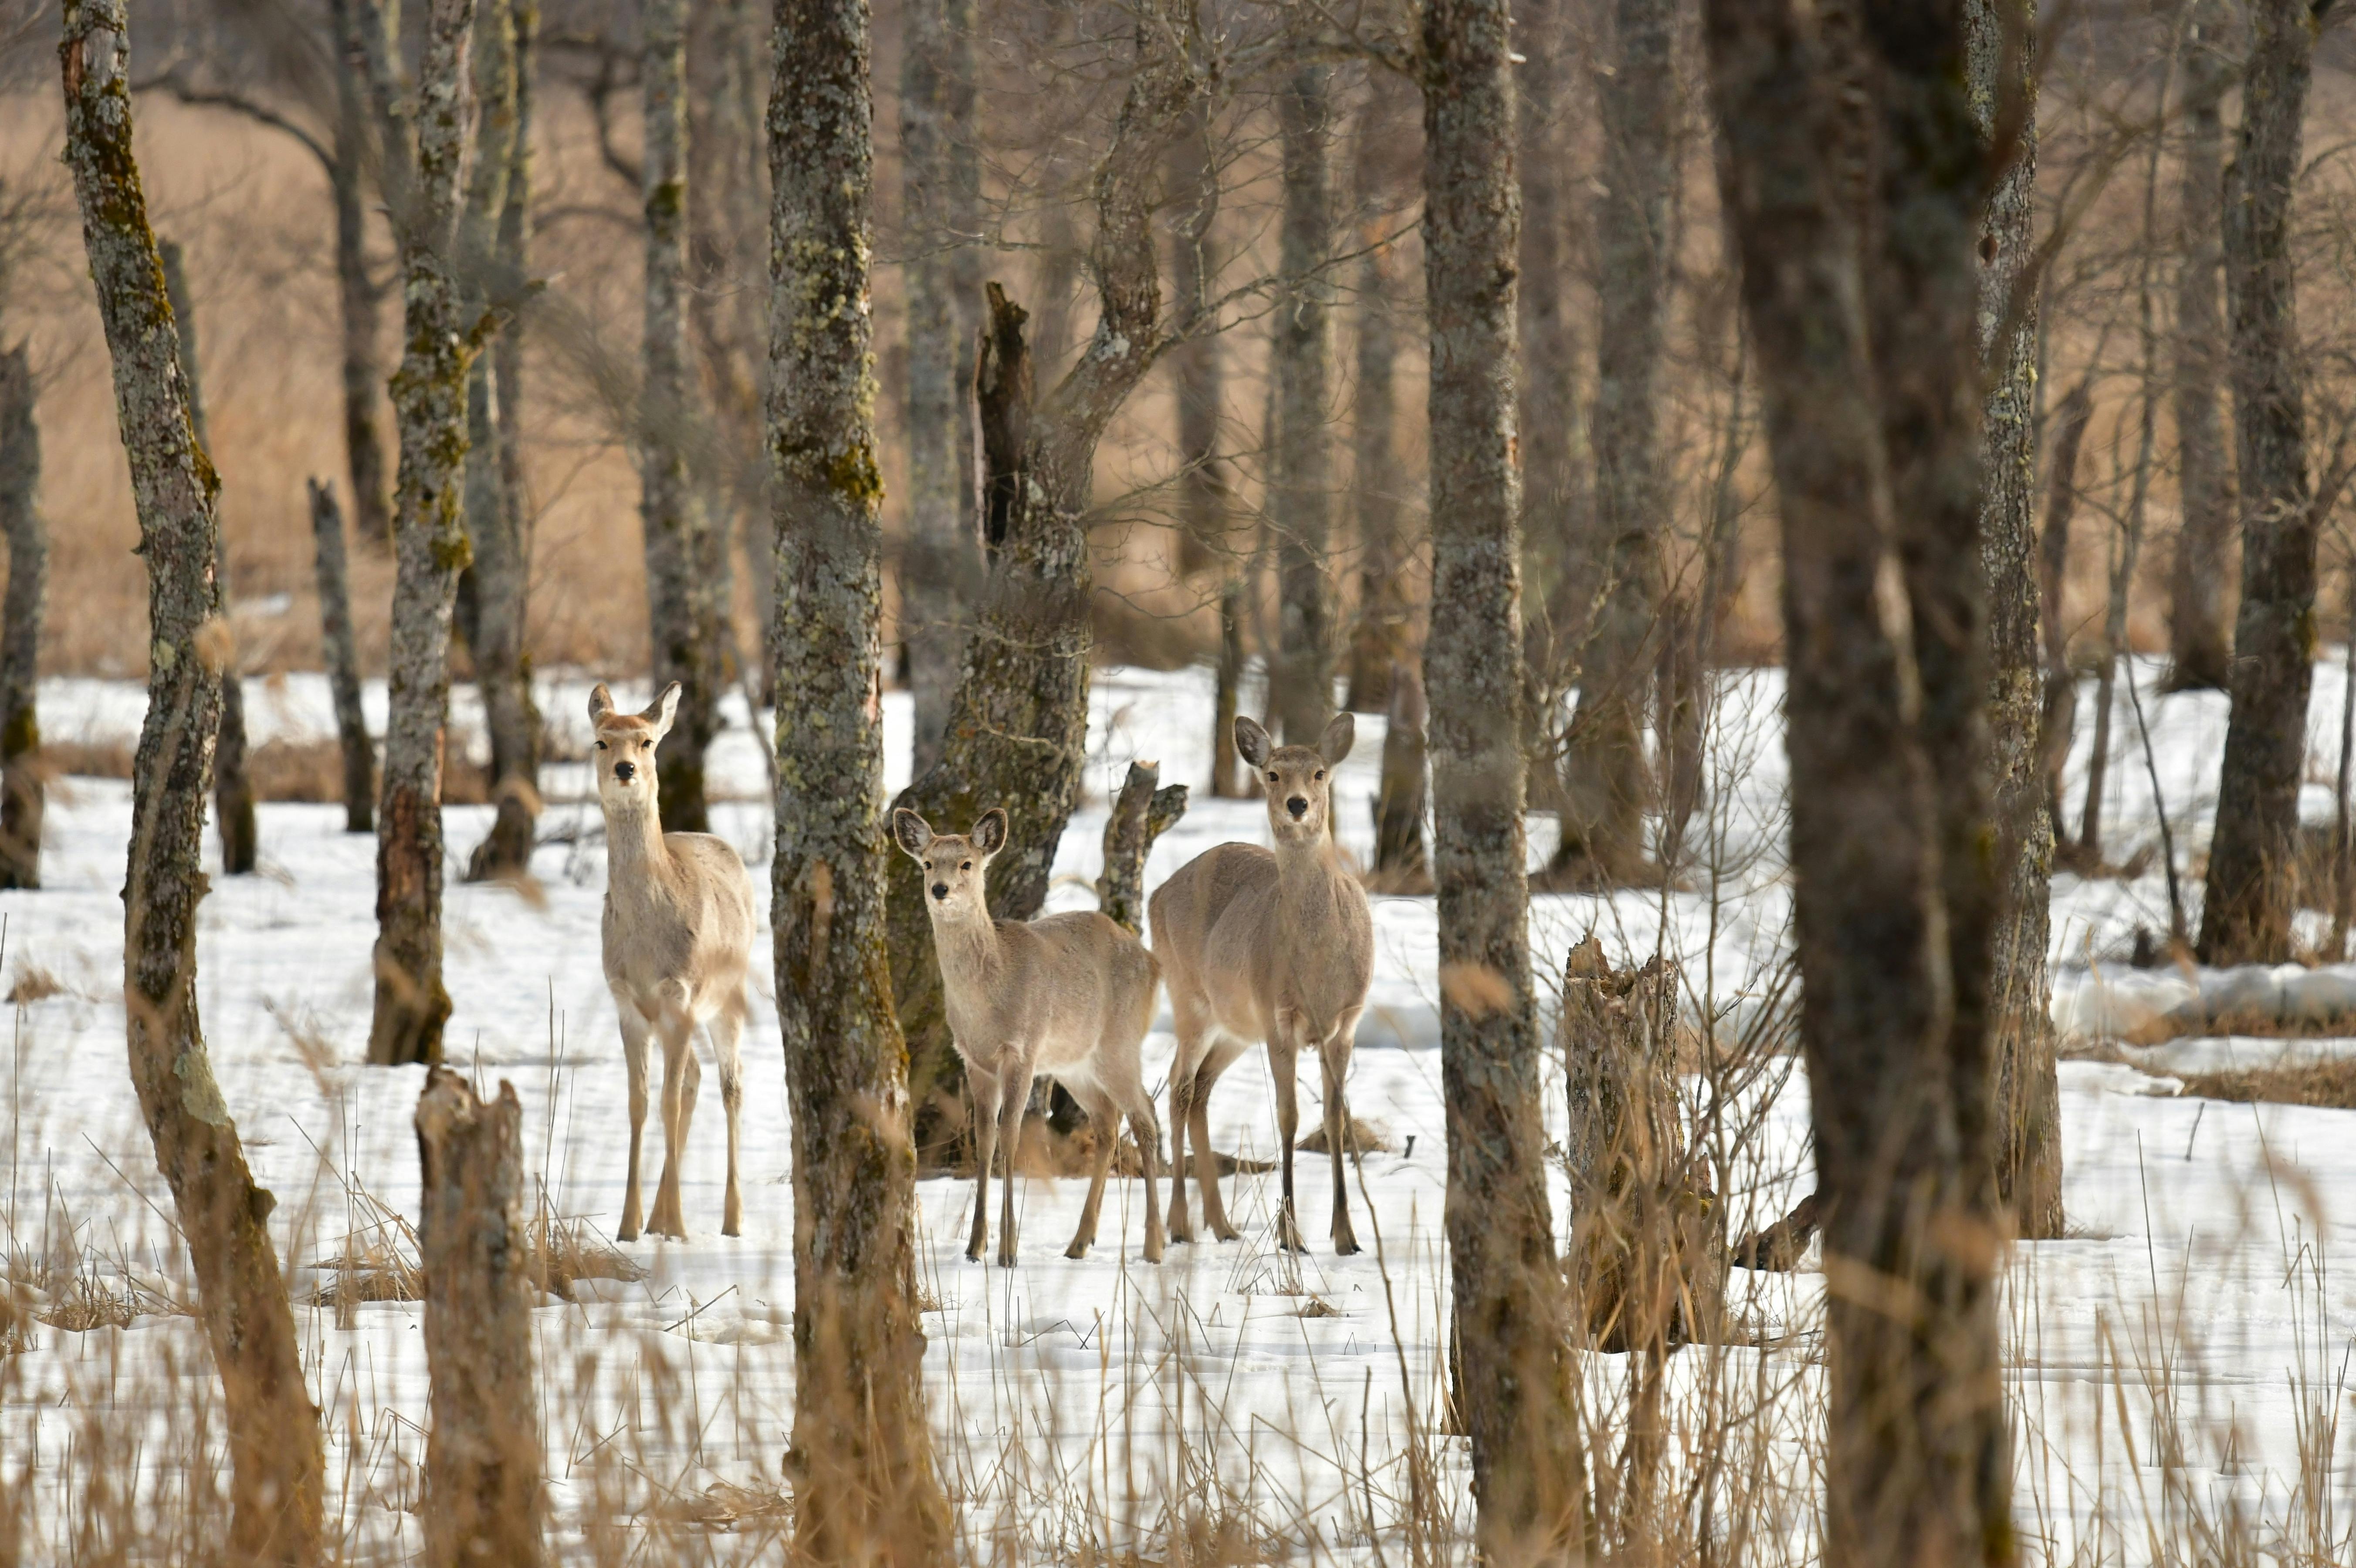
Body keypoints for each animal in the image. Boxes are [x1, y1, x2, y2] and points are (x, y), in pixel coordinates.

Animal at [589, 682, 758, 1241]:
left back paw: (730, 1220)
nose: (625, 769)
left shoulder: (680, 994)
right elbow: (640, 1102)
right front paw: (629, 1225)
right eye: (600, 741)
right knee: (694, 1080)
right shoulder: (626, 1001)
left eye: (646, 741)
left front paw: (680, 1226)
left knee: (731, 1084)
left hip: (728, 997)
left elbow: (665, 1101)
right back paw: (660, 1218)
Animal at [893, 807, 1166, 1266]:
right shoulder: (974, 1060)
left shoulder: (1022, 1049)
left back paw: (1155, 1245)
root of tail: (1153, 963)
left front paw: (1008, 1250)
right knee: (1108, 1123)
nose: (940, 889)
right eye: (928, 863)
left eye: (967, 863)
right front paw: (975, 1246)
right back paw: (1080, 1242)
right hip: (1075, 1063)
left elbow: (1011, 1137)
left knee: (1146, 1118)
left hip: (1119, 1044)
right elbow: (985, 1139)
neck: (989, 998)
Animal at [1151, 713, 1373, 1255]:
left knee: (1201, 1090)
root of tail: (1155, 893)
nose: (1297, 804)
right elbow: (1288, 1116)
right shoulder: (1279, 1019)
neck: (1319, 967)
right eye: (1272, 774)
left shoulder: (1345, 1023)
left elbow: (1334, 1118)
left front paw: (1345, 1235)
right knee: (1178, 1088)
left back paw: (1221, 1224)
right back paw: (1179, 1224)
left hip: (1234, 1028)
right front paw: (1289, 1234)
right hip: (1189, 999)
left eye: (1319, 773)